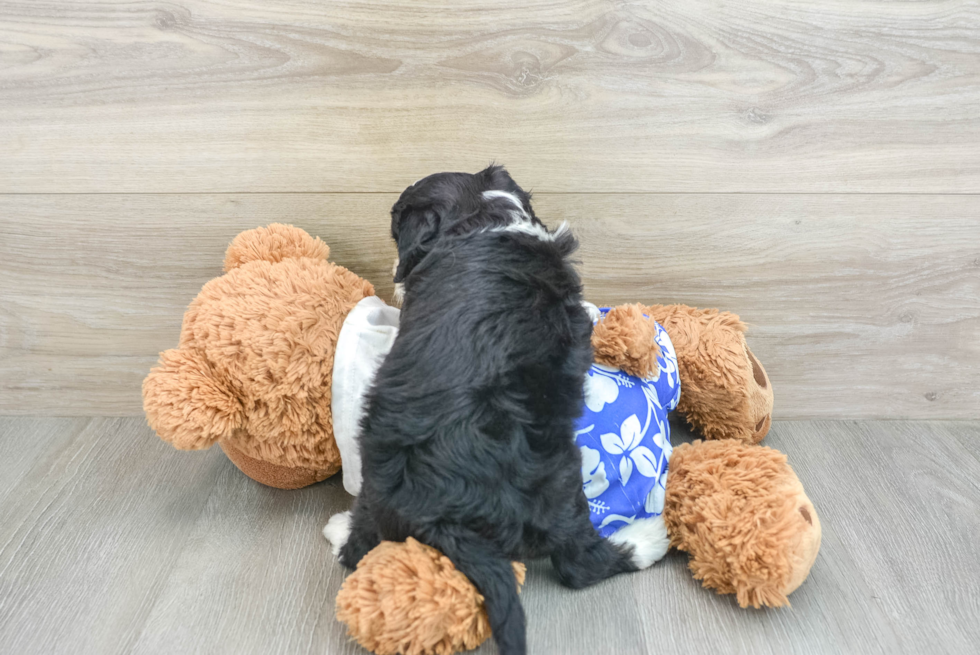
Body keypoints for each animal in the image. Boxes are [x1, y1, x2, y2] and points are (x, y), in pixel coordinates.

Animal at [326, 168, 640, 655]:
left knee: (360, 545)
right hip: (563, 481)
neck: (480, 216)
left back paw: (340, 530)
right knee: (579, 562)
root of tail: (448, 510)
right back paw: (643, 541)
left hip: (377, 477)